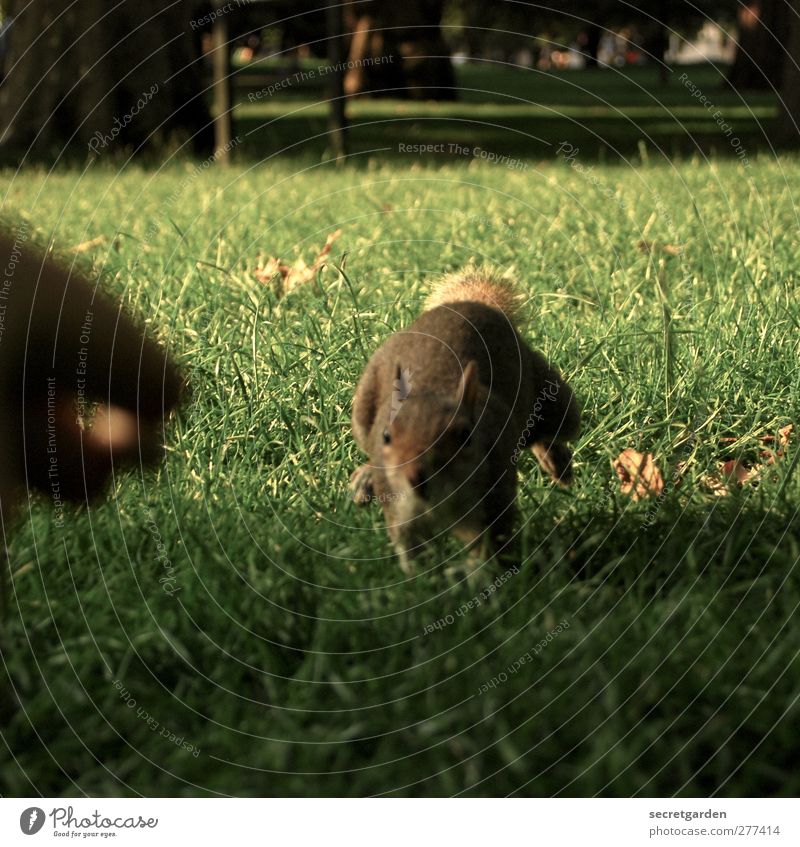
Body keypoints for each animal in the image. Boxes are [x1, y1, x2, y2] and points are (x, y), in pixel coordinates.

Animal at [352, 268, 580, 572]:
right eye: (386, 436)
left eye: (465, 436)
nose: (417, 478)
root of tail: (468, 304)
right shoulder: (402, 511)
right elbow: (410, 548)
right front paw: (420, 579)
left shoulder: (494, 498)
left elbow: (491, 547)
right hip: (362, 409)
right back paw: (364, 477)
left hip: (556, 400)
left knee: (549, 431)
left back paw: (557, 461)